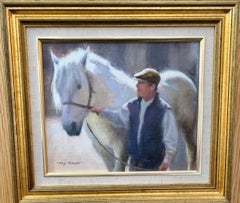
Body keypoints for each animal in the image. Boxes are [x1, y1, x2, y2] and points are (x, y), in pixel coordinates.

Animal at [50, 47, 197, 171]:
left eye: (79, 85)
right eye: (57, 87)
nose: (69, 127)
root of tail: (183, 77)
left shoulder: (122, 149)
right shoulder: (103, 150)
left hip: (188, 128)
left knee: (191, 151)